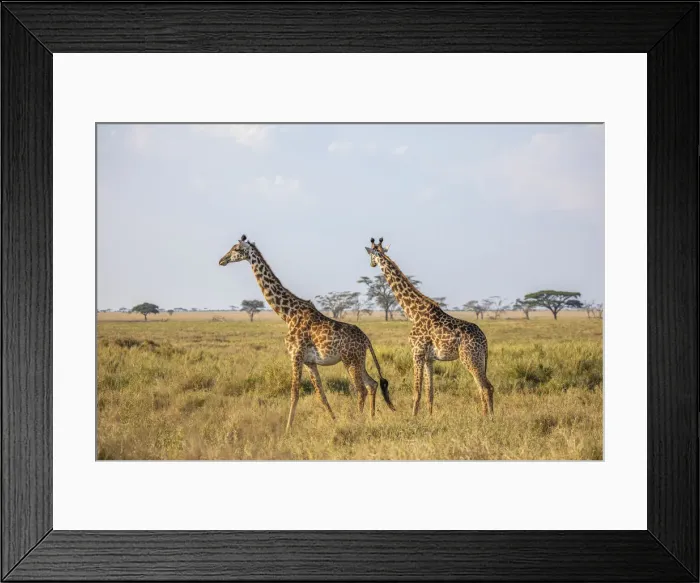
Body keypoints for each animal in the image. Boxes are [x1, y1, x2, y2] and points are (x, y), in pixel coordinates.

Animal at [219, 235, 396, 431]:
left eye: (236, 249)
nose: (222, 260)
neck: (287, 314)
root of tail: (366, 340)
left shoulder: (295, 354)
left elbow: (294, 392)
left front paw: (288, 429)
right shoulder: (309, 362)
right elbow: (321, 394)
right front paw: (334, 421)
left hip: (349, 360)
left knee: (361, 389)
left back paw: (359, 421)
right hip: (359, 360)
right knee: (372, 384)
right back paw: (371, 418)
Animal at [364, 237, 495, 418]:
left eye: (371, 254)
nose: (371, 264)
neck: (413, 312)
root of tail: (484, 339)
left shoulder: (417, 352)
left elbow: (416, 391)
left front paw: (413, 418)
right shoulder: (429, 358)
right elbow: (429, 393)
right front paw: (430, 417)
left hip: (470, 357)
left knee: (485, 387)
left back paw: (488, 418)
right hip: (480, 358)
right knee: (485, 387)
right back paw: (487, 415)